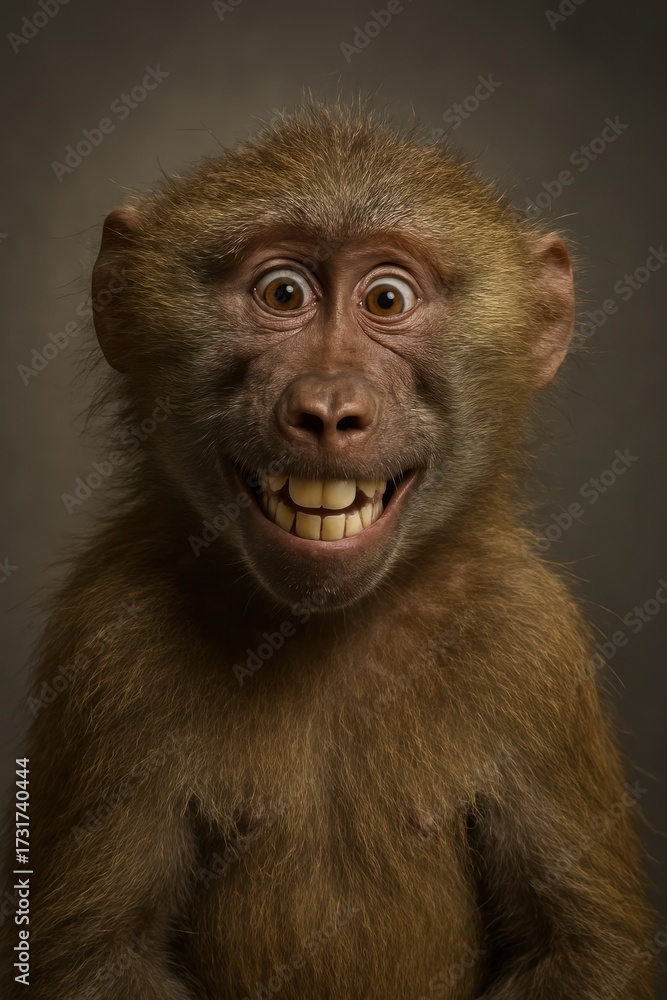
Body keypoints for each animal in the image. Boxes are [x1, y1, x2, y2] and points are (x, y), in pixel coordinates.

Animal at [0, 98, 655, 999]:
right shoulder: (109, 633)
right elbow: (95, 956)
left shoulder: (529, 633)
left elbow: (581, 950)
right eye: (282, 292)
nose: (328, 410)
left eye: (385, 299)